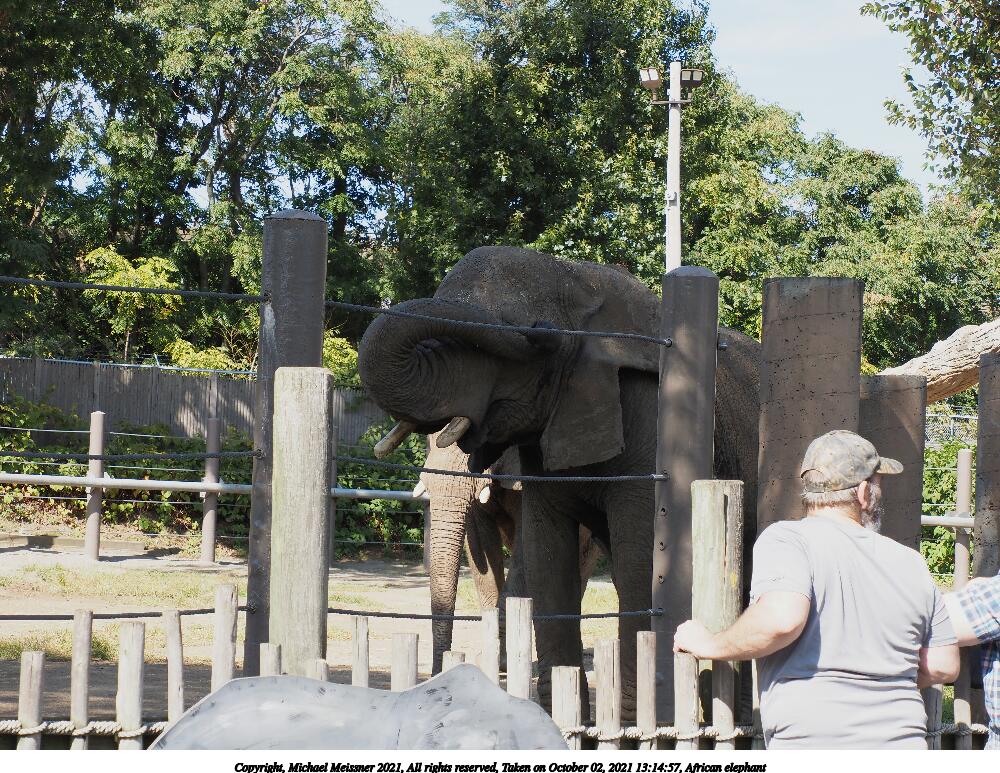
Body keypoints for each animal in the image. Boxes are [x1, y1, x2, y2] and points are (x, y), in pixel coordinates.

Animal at [358, 247, 759, 717]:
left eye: (525, 336)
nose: (543, 334)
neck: (578, 278)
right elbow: (545, 557)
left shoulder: (650, 420)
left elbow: (637, 562)